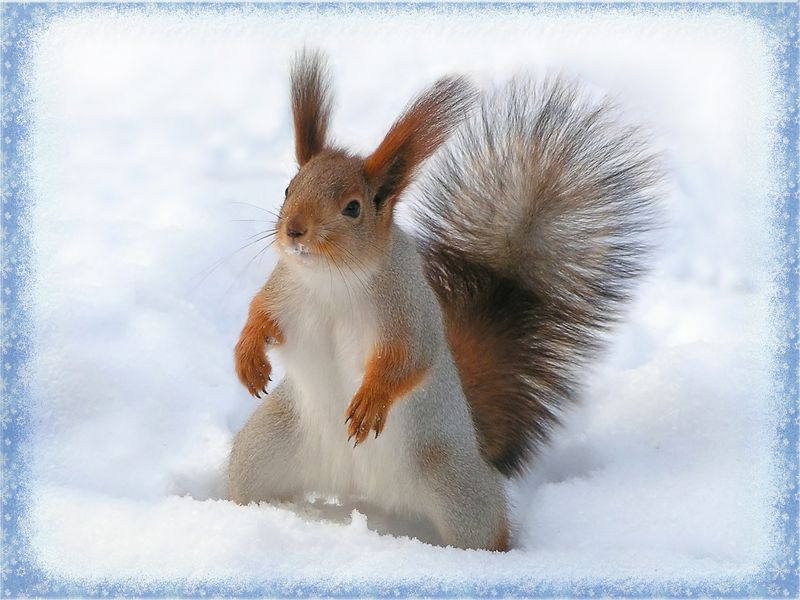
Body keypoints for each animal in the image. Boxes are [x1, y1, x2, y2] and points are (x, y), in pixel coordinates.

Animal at [227, 49, 660, 551]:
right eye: (288, 188)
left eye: (353, 207)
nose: (294, 231)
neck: (333, 281)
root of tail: (365, 491)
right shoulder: (285, 290)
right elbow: (259, 316)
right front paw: (248, 358)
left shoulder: (407, 309)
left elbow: (408, 359)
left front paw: (370, 400)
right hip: (265, 449)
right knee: (248, 479)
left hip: (456, 487)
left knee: (485, 529)